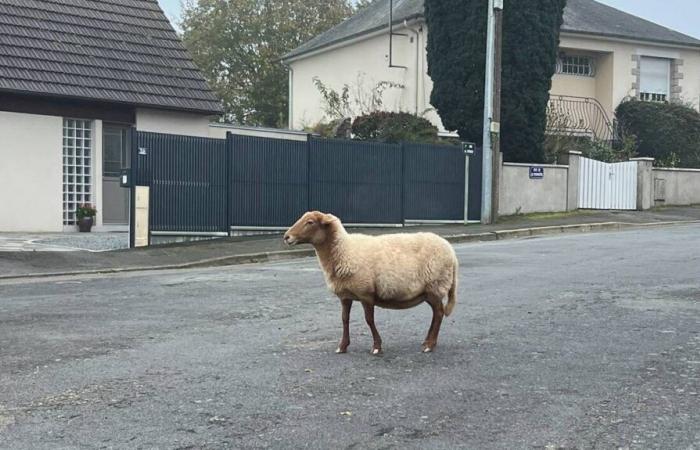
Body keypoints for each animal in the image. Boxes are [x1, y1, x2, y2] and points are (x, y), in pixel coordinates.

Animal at [284, 211, 460, 356]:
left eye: (310, 222)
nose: (286, 237)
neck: (344, 250)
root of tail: (451, 252)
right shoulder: (345, 296)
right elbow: (344, 319)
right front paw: (342, 346)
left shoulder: (366, 293)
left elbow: (369, 319)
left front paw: (376, 347)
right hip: (428, 291)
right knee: (436, 313)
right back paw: (427, 342)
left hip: (435, 285)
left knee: (439, 313)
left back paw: (429, 345)